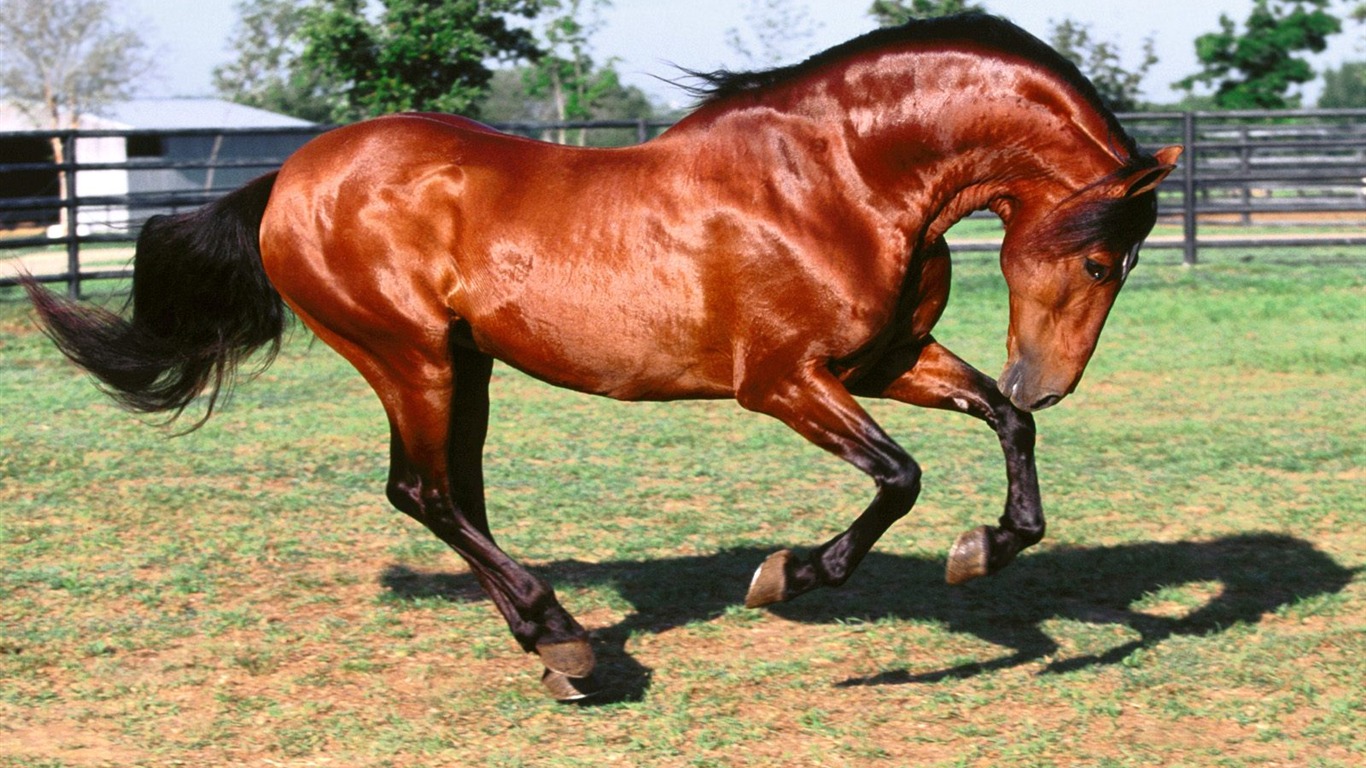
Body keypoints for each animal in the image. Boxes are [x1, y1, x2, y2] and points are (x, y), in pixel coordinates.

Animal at [21, 16, 1174, 699]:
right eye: (1101, 256)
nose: (1050, 380)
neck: (838, 178)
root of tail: (292, 175)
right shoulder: (783, 383)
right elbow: (899, 478)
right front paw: (790, 577)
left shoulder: (884, 360)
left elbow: (999, 430)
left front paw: (985, 546)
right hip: (407, 355)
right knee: (421, 493)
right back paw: (563, 635)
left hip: (465, 364)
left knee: (456, 493)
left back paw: (556, 653)